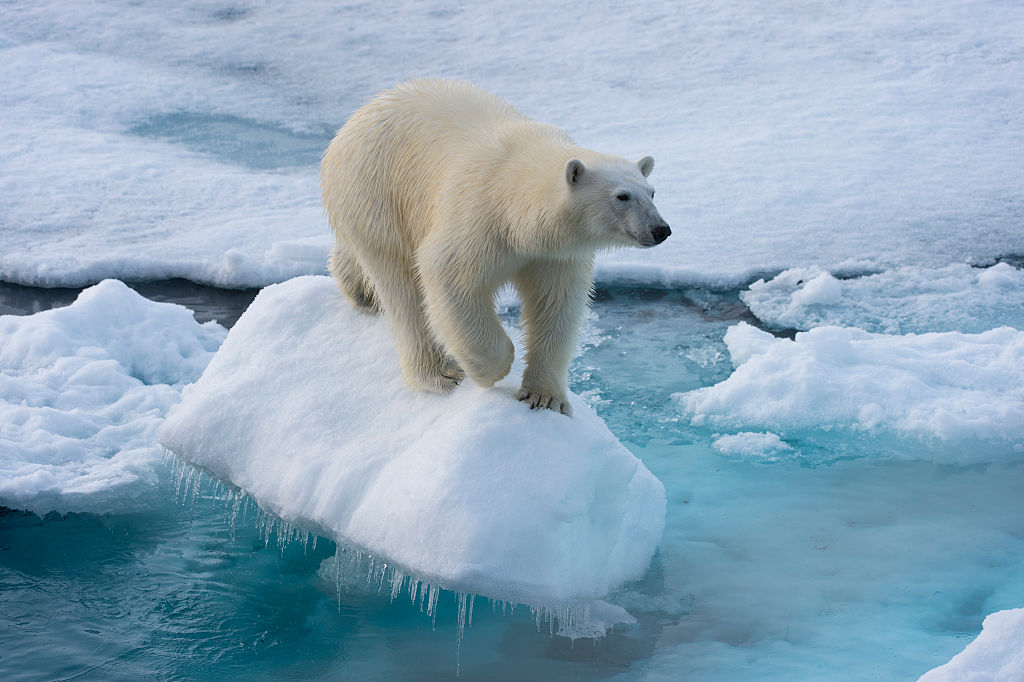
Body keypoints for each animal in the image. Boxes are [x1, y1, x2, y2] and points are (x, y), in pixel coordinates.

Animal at [320, 79, 669, 416]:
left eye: (651, 192)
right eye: (622, 196)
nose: (660, 230)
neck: (514, 200)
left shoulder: (553, 254)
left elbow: (556, 305)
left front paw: (546, 397)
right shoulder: (478, 217)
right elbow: (448, 276)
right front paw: (493, 369)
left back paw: (358, 290)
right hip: (376, 193)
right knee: (402, 287)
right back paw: (441, 374)